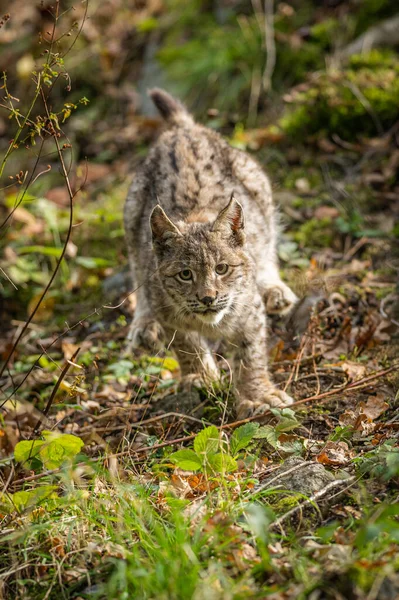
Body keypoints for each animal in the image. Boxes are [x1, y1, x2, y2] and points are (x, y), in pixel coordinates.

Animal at [123, 89, 298, 418]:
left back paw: (275, 290)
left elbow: (249, 356)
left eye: (222, 269)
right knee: (136, 268)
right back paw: (143, 323)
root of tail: (184, 131)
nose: (208, 298)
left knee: (267, 245)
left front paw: (258, 395)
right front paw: (201, 377)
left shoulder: (250, 312)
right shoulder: (169, 311)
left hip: (258, 186)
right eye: (185, 275)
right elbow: (186, 343)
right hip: (131, 214)